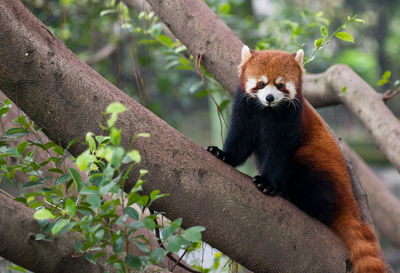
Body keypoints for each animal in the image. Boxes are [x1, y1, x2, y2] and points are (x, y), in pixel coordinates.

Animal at [208, 45, 386, 270]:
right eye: (261, 83)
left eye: (280, 85)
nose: (269, 98)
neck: (267, 112)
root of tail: (349, 198)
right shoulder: (245, 110)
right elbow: (240, 140)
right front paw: (223, 154)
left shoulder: (290, 119)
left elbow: (278, 153)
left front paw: (267, 184)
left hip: (316, 162)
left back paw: (296, 199)